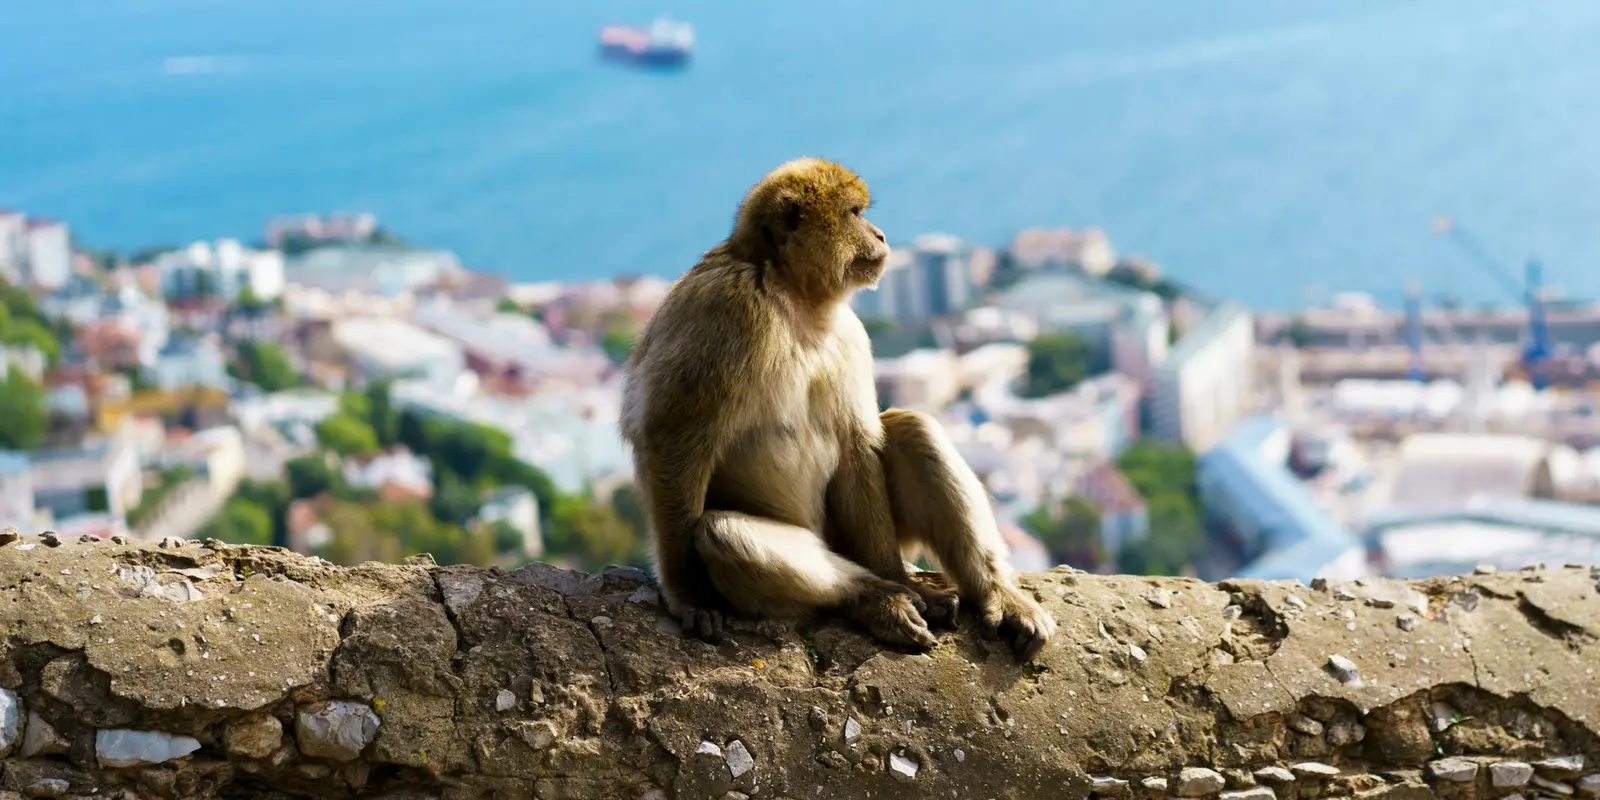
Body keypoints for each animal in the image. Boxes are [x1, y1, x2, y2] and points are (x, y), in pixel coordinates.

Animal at [619, 157, 1056, 661]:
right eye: (854, 213)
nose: (881, 234)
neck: (792, 294)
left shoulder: (850, 334)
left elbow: (855, 445)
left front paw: (905, 581)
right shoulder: (726, 309)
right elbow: (673, 438)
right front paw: (689, 595)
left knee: (912, 428)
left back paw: (978, 593)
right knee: (723, 533)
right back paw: (874, 596)